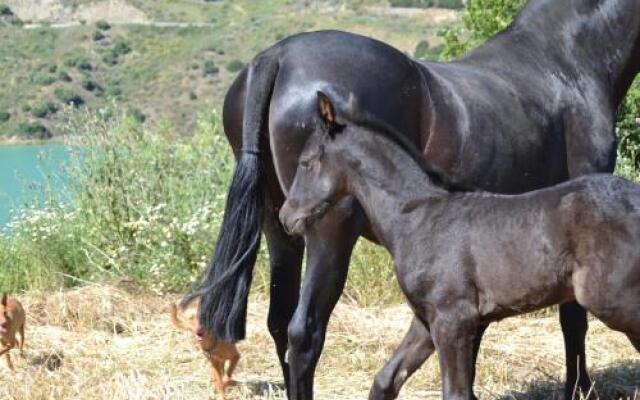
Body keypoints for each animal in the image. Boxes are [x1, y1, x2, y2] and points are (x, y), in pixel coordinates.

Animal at [282, 90, 640, 400]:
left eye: (306, 162)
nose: (287, 217)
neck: (416, 217)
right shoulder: (426, 320)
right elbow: (386, 380)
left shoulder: (453, 319)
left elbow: (455, 392)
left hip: (613, 301)